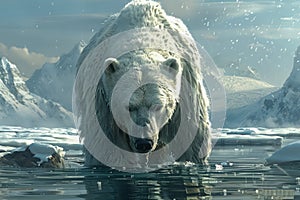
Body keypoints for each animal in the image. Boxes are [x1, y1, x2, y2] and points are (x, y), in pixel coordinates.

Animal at [73, 0, 211, 170]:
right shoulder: (102, 103)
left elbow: (191, 141)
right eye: (128, 106)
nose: (144, 142)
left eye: (158, 106)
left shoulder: (186, 94)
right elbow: (107, 148)